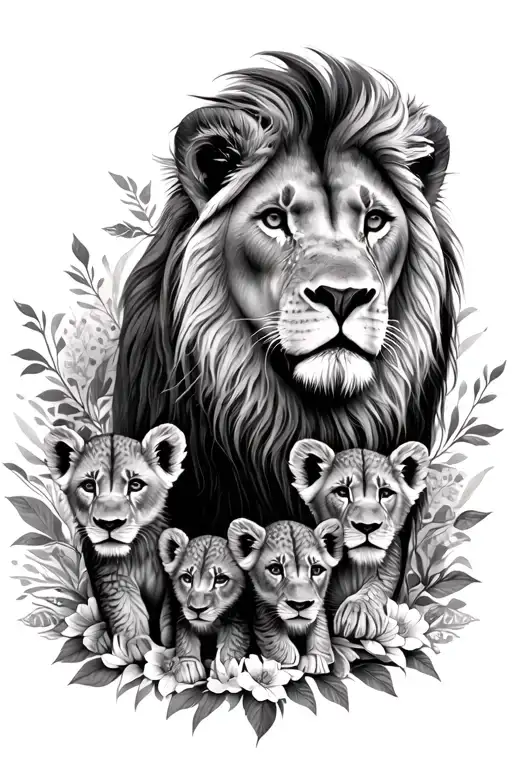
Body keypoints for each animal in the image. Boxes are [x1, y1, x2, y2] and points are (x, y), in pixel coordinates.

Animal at [43, 423, 187, 660]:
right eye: (89, 486)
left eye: (135, 485)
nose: (109, 523)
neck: (137, 551)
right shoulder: (111, 575)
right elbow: (124, 606)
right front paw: (136, 643)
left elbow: (170, 606)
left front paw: (170, 642)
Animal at [158, 529, 250, 683]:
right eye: (187, 578)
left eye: (221, 579)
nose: (197, 609)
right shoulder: (183, 617)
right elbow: (185, 638)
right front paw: (188, 665)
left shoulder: (238, 620)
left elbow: (232, 643)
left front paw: (225, 670)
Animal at [228, 517, 343, 674]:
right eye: (275, 569)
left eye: (316, 570)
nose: (300, 605)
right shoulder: (262, 610)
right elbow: (272, 635)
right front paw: (288, 660)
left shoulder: (318, 609)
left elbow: (320, 631)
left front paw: (316, 658)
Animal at [289, 438, 429, 638]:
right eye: (342, 492)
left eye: (385, 493)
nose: (367, 526)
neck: (354, 568)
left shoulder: (389, 569)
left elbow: (377, 587)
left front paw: (357, 614)